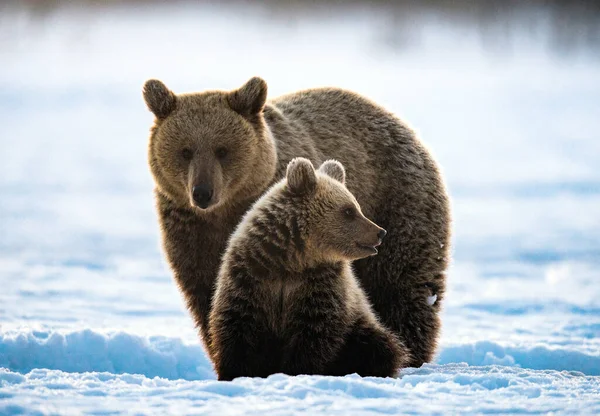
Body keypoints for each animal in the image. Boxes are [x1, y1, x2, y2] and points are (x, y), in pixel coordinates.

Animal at [209, 157, 410, 380]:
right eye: (349, 211)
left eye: (356, 206)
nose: (380, 232)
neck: (292, 262)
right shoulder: (251, 276)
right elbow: (238, 326)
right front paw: (235, 372)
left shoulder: (319, 285)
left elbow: (314, 332)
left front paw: (299, 370)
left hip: (360, 326)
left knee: (380, 346)